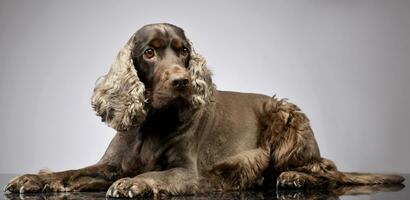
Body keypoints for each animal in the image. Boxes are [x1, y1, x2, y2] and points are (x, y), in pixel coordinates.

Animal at [3, 22, 404, 198]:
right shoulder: (108, 164)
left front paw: (134, 184)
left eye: (183, 51)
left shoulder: (189, 171)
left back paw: (296, 178)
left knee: (327, 170)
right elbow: (71, 172)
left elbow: (156, 175)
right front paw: (32, 179)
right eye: (149, 52)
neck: (152, 123)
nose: (182, 81)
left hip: (287, 116)